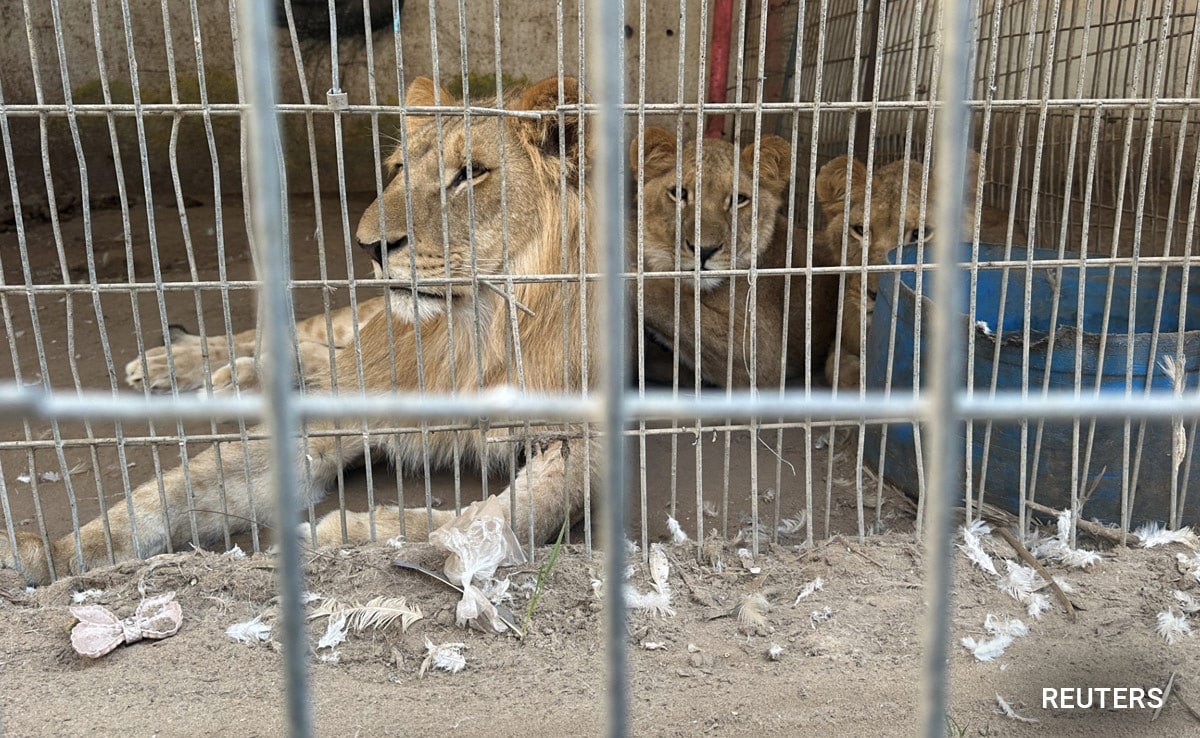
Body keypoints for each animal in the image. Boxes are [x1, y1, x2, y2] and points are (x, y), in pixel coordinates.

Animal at [0, 75, 600, 583]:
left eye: (471, 174)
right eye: (399, 169)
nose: (370, 246)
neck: (477, 330)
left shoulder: (587, 441)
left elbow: (511, 516)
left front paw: (351, 532)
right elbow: (171, 489)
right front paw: (49, 555)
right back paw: (189, 362)